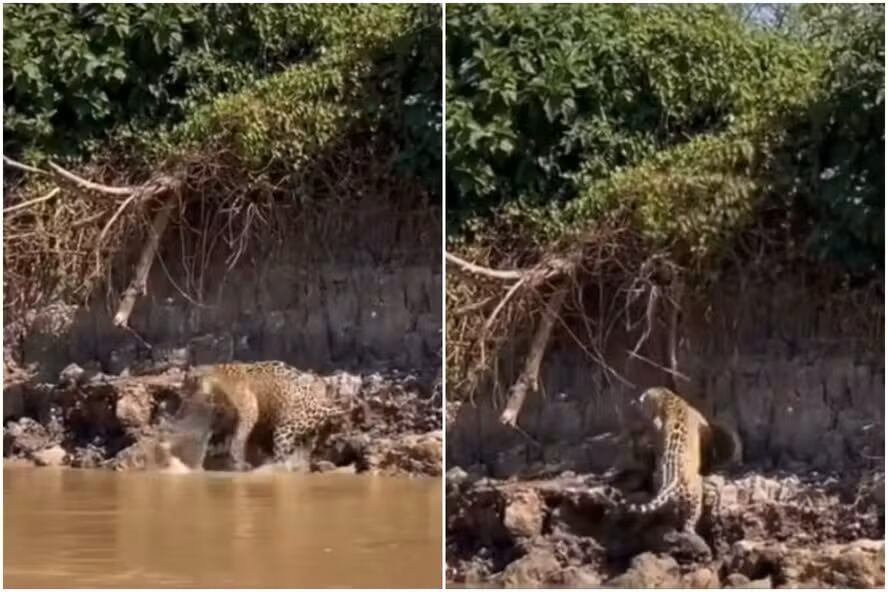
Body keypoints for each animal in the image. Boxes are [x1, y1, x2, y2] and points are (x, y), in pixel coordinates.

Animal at [182, 361, 348, 471]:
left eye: (192, 381)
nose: (184, 394)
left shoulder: (248, 409)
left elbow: (239, 436)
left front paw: (237, 458)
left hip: (284, 431)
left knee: (282, 456)